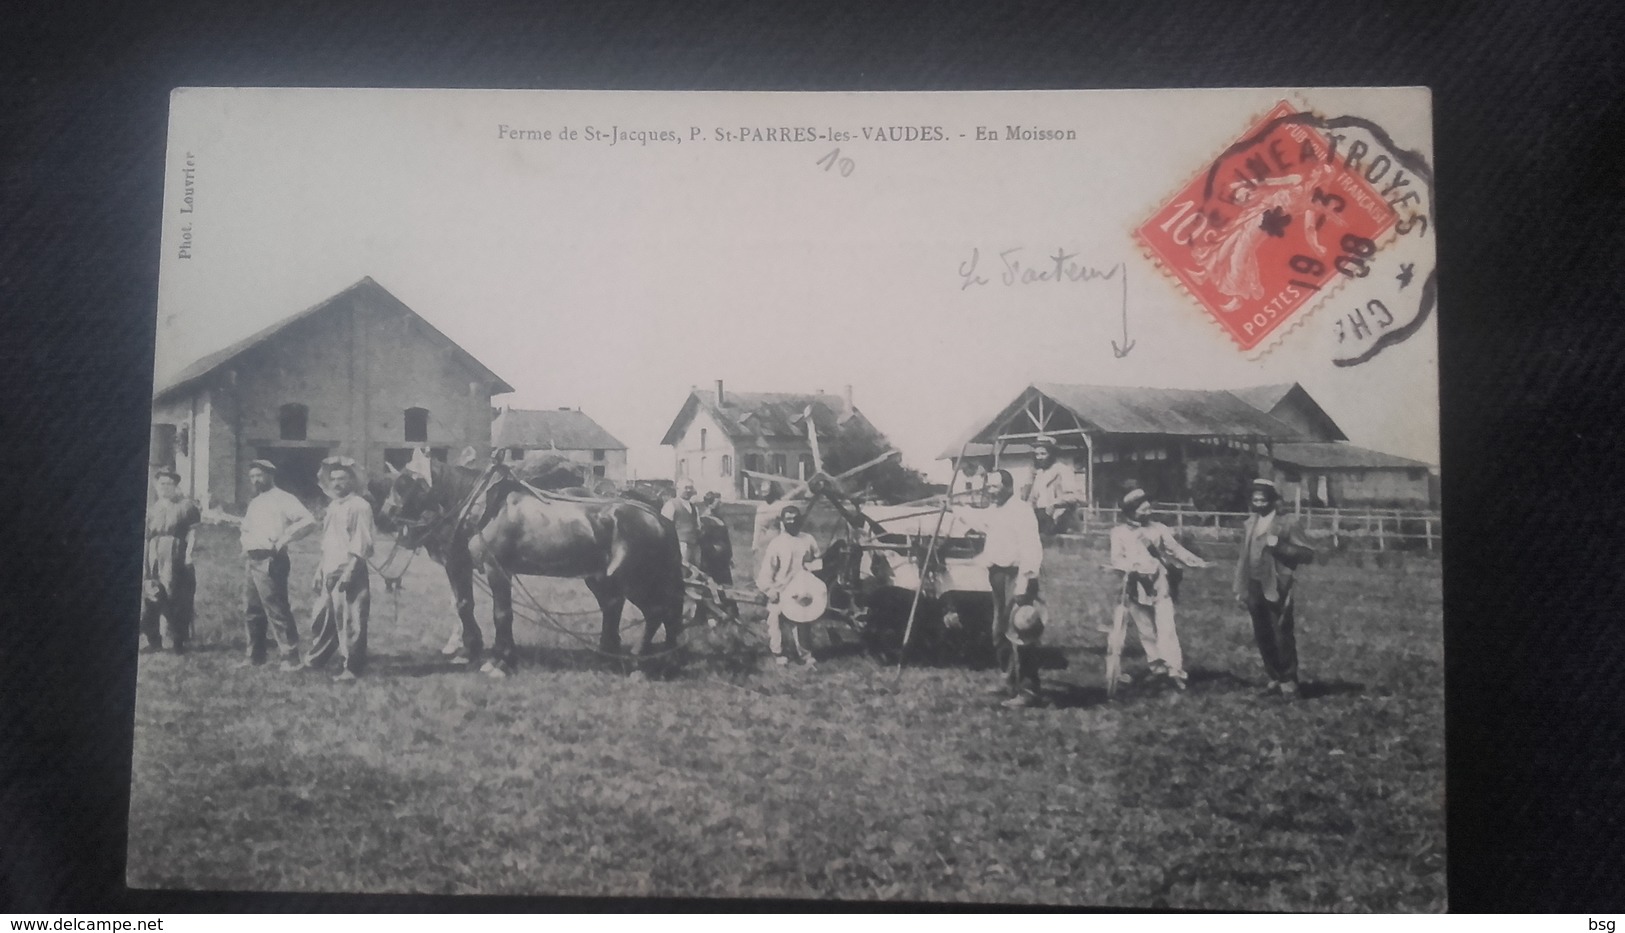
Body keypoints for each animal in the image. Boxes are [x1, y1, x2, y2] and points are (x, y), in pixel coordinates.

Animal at [380, 455, 685, 679]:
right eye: (394, 482)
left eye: (407, 483)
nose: (385, 514)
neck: (484, 508)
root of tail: (658, 517)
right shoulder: (462, 565)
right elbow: (464, 604)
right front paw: (472, 652)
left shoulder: (496, 569)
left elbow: (501, 614)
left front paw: (501, 662)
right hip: (604, 578)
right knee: (631, 609)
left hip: (636, 580)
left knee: (656, 612)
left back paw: (639, 663)